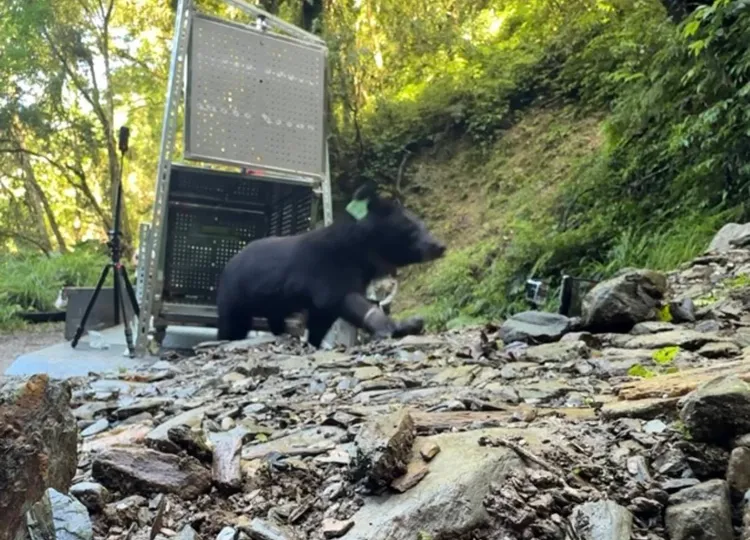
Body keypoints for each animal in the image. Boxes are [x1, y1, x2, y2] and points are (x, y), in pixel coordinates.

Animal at [216, 183, 446, 347]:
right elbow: (343, 299)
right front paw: (393, 327)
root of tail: (230, 262)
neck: (362, 254)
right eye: (411, 229)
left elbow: (322, 318)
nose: (440, 246)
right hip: (235, 294)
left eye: (423, 225)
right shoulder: (326, 270)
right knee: (232, 323)